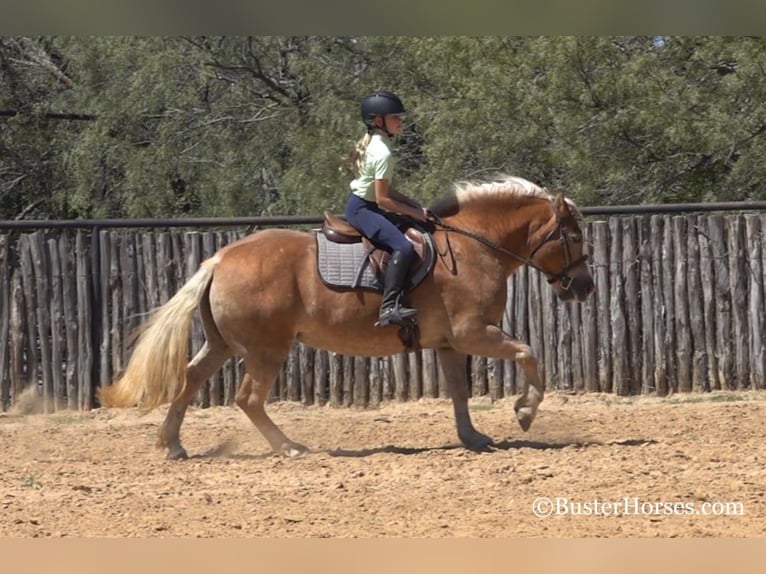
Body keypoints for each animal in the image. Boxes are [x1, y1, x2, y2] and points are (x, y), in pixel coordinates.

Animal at [99, 173, 596, 462]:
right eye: (572, 236)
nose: (585, 287)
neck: (474, 246)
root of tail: (220, 258)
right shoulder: (474, 333)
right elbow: (529, 354)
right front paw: (525, 412)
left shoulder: (449, 343)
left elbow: (459, 392)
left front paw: (473, 438)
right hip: (266, 349)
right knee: (248, 398)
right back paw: (290, 448)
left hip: (221, 344)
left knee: (190, 379)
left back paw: (173, 446)